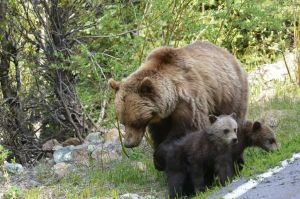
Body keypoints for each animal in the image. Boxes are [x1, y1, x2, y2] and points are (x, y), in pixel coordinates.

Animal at [108, 41, 248, 148]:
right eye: (123, 122)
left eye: (135, 123)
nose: (128, 144)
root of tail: (228, 53)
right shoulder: (160, 119)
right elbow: (160, 135)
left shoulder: (189, 100)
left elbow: (187, 130)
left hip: (230, 92)